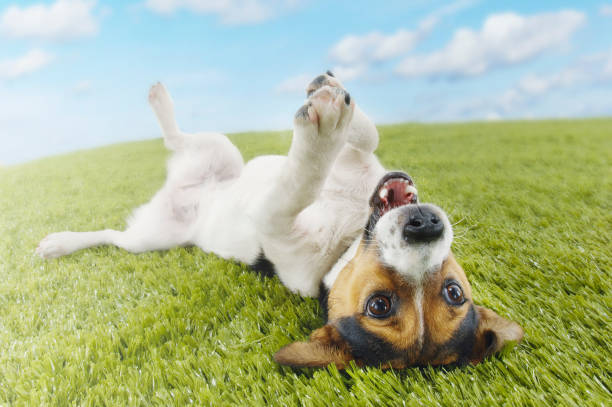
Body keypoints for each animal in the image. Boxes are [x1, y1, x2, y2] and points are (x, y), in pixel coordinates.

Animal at [35, 71, 520, 368]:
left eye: (378, 306)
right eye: (457, 291)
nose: (425, 227)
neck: (350, 232)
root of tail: (183, 198)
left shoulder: (275, 220)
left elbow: (301, 180)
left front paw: (323, 127)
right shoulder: (362, 161)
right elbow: (366, 135)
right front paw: (333, 90)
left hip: (152, 238)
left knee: (117, 233)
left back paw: (61, 242)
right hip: (222, 153)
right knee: (180, 142)